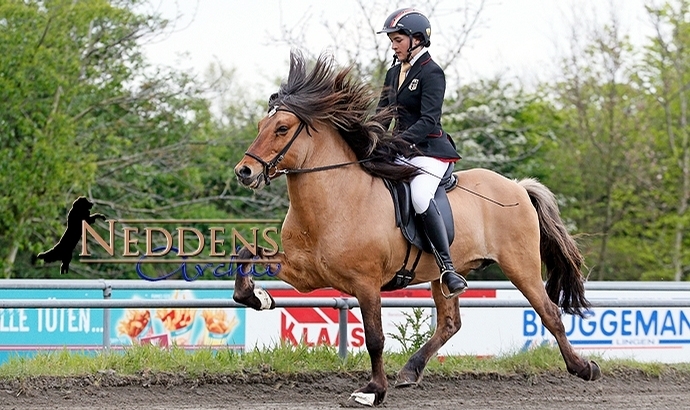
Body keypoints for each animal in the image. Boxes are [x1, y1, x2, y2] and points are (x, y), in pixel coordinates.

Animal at [231, 52, 596, 406]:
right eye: (262, 125)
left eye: (282, 128)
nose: (244, 172)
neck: (334, 200)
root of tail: (517, 186)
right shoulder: (306, 275)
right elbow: (246, 254)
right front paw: (258, 297)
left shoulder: (366, 283)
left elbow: (375, 338)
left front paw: (373, 391)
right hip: (446, 273)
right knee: (450, 323)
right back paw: (410, 370)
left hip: (521, 266)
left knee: (549, 312)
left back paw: (583, 368)